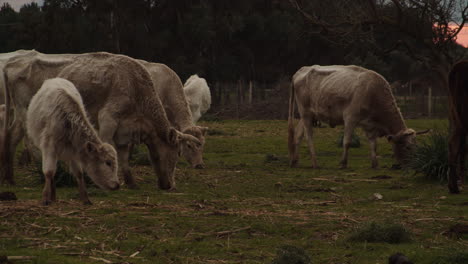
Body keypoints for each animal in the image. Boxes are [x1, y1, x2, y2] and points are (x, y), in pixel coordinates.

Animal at [1, 51, 199, 189]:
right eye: (176, 154)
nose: (170, 186)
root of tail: (13, 63)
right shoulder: (108, 119)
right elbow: (109, 148)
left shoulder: (125, 131)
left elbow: (124, 156)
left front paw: (131, 182)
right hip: (26, 111)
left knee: (12, 137)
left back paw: (9, 178)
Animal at [26, 77, 119, 205]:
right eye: (108, 162)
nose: (117, 184)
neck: (67, 122)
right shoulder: (48, 147)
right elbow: (48, 172)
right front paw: (45, 198)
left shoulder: (74, 151)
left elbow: (79, 174)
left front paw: (85, 198)